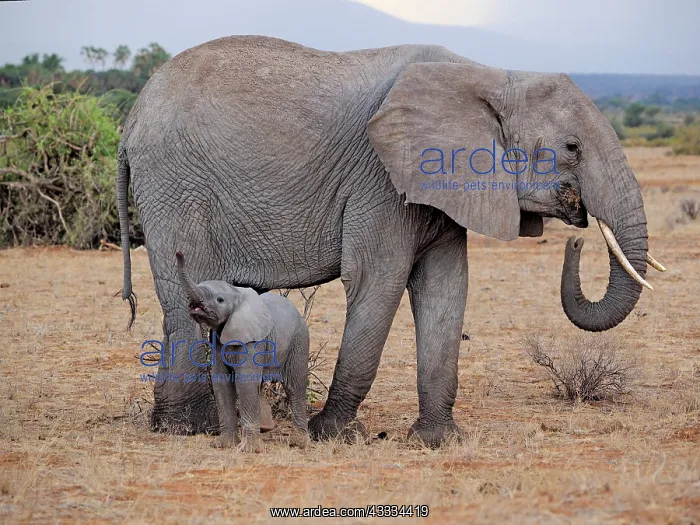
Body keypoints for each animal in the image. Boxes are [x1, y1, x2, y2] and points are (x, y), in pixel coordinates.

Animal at [175, 252, 310, 451]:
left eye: (220, 300)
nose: (179, 253)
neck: (236, 292)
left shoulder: (253, 340)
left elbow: (245, 380)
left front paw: (249, 450)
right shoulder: (217, 341)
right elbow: (222, 382)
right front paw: (222, 445)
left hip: (299, 340)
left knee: (295, 386)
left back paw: (298, 443)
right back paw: (266, 428)